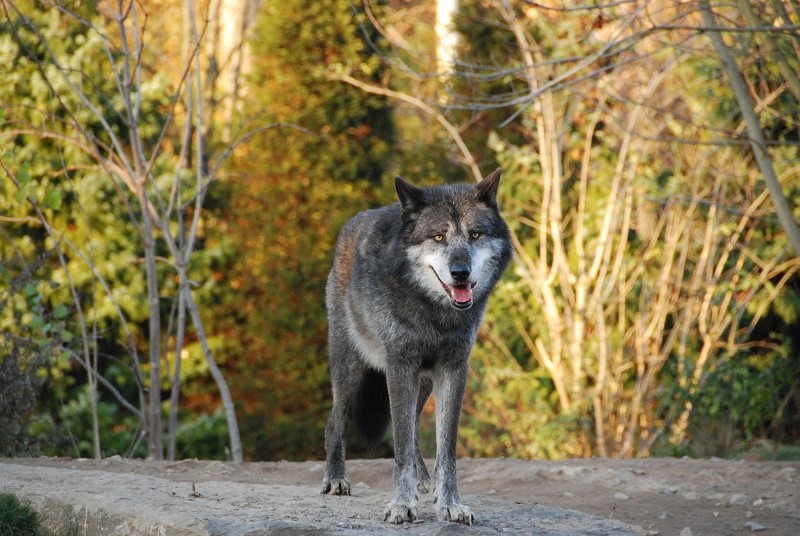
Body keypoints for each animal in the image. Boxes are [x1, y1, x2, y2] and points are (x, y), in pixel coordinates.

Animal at [320, 168, 512, 524]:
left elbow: (445, 448)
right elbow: (400, 445)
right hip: (350, 370)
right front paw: (400, 504)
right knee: (335, 422)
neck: (435, 313)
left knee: (413, 430)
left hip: (422, 381)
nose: (460, 273)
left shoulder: (453, 369)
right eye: (437, 237)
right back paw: (336, 479)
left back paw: (424, 480)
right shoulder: (399, 366)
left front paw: (449, 504)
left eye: (475, 234)